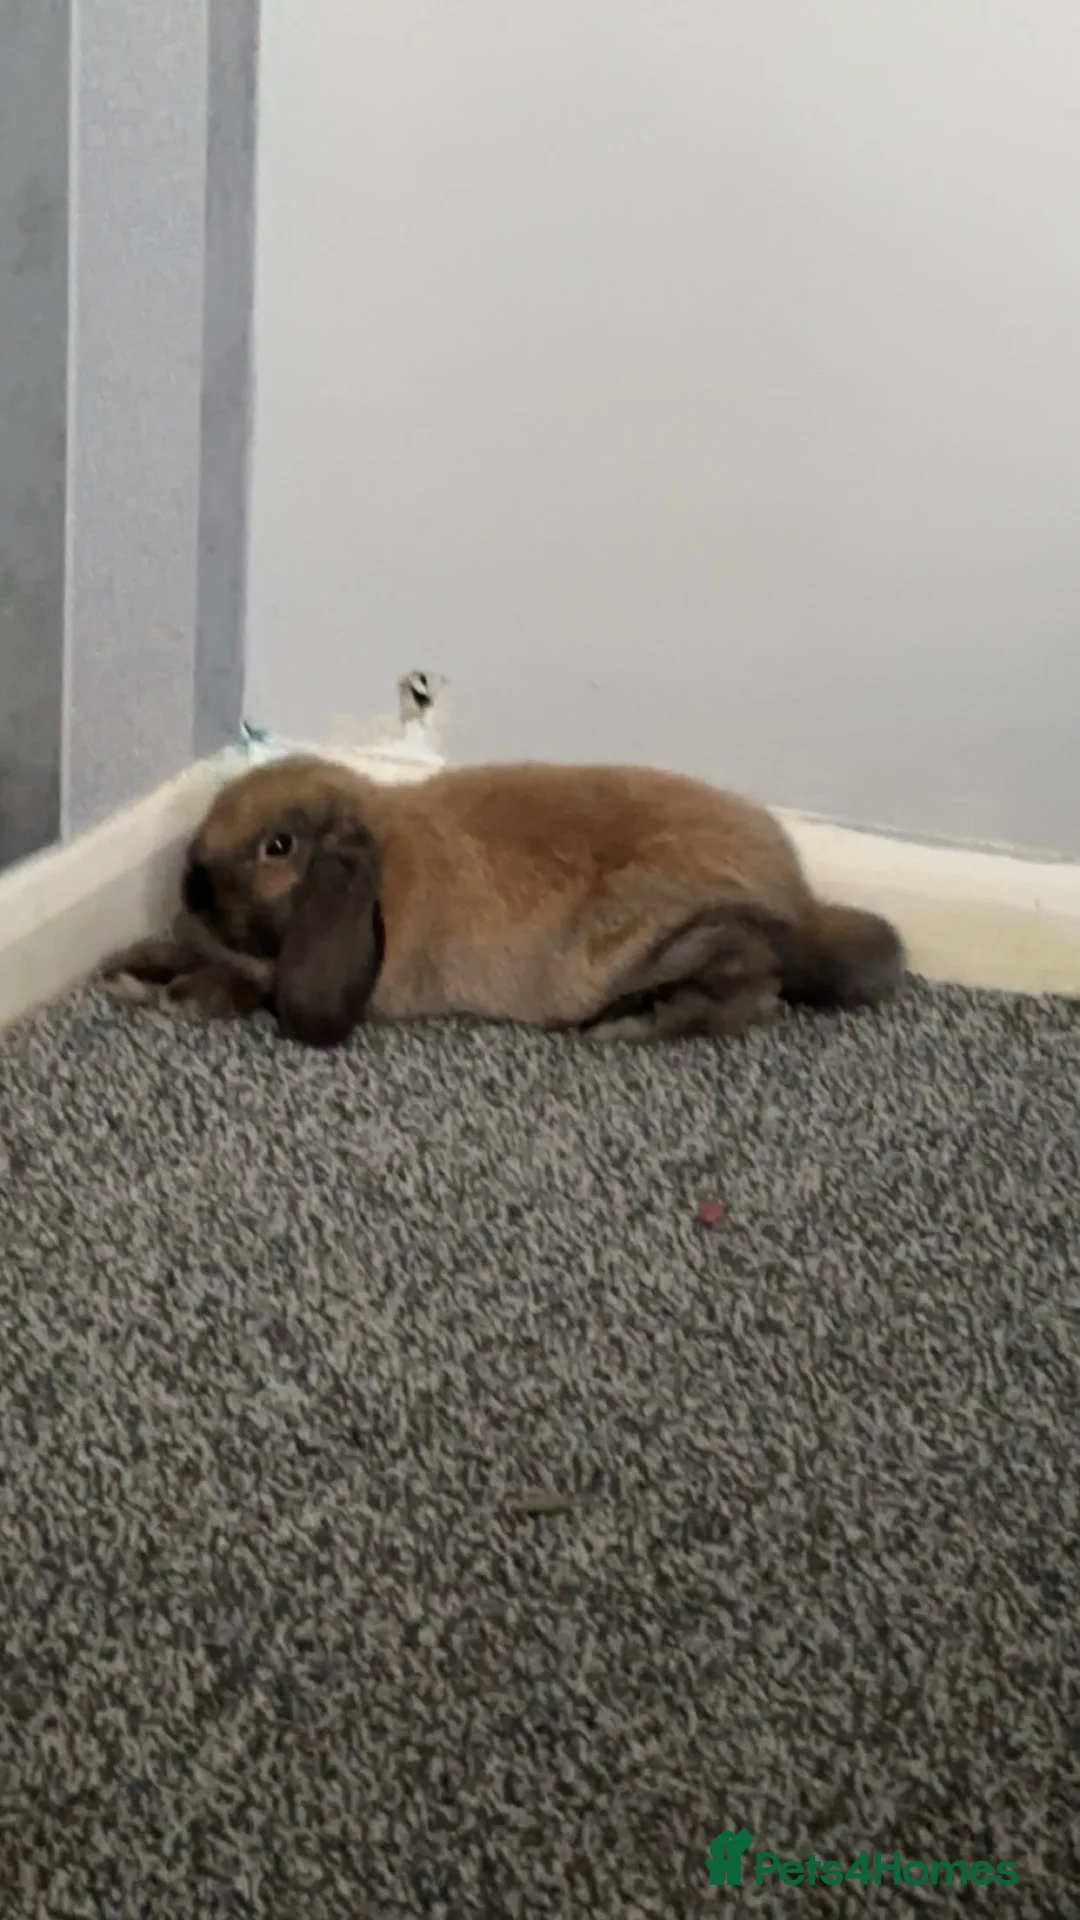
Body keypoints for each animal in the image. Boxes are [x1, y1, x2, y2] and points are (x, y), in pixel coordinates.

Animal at [101, 755, 905, 1050]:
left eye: (279, 846)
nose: (191, 882)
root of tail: (796, 903)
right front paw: (135, 965)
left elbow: (252, 984)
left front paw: (182, 991)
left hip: (657, 937)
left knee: (751, 983)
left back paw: (631, 1024)